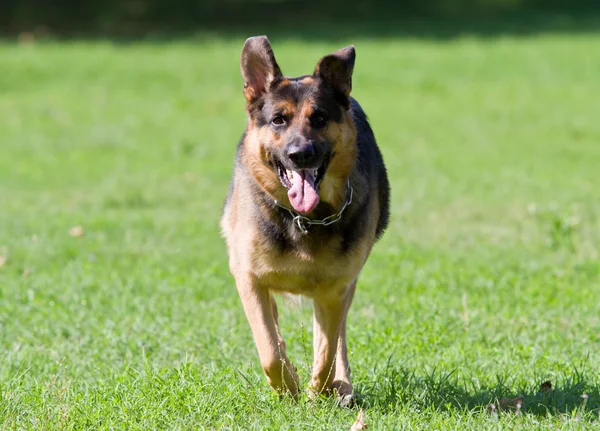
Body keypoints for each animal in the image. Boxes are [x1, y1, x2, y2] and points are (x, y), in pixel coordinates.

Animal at [220, 36, 390, 404]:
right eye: (278, 120)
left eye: (320, 117)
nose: (300, 155)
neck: (305, 219)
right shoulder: (248, 277)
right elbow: (269, 350)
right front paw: (288, 386)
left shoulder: (335, 288)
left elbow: (326, 354)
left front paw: (316, 392)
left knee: (337, 342)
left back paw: (341, 386)